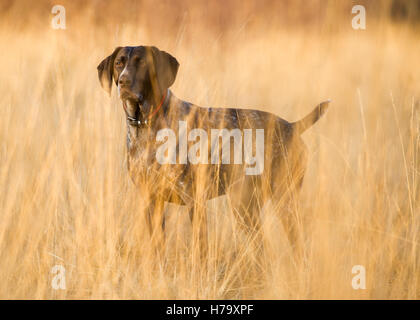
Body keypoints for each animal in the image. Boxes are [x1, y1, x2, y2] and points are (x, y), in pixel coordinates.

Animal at [97, 45, 330, 250]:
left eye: (143, 62)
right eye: (119, 63)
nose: (124, 82)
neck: (146, 127)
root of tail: (293, 126)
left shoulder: (195, 201)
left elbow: (200, 252)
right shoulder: (151, 202)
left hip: (274, 201)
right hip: (249, 207)